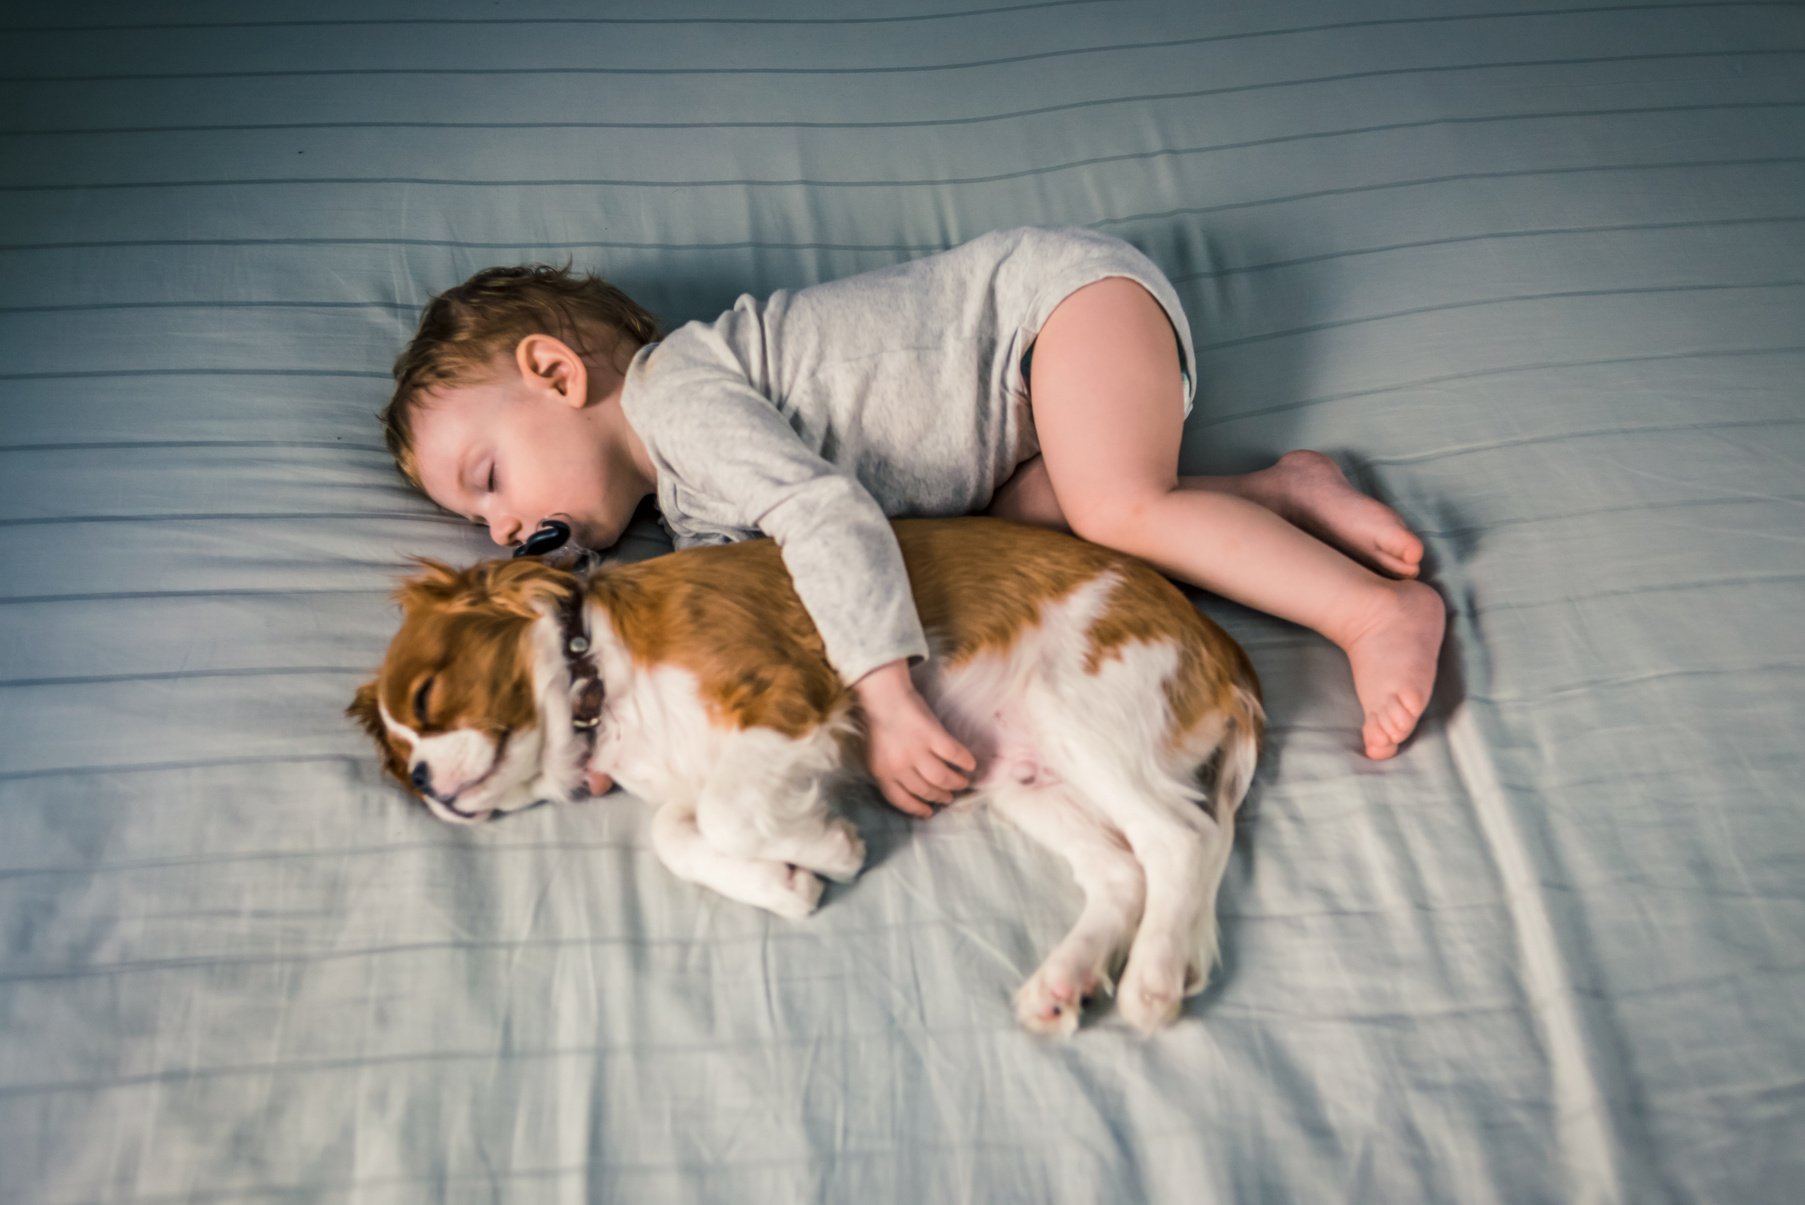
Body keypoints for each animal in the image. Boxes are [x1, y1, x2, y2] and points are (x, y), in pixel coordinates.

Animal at [344, 519, 1263, 1039]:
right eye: (404, 772)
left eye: (427, 697)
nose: (424, 778)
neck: (596, 672)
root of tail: (1223, 647)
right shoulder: (696, 772)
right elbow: (676, 833)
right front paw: (786, 879)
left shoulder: (786, 695)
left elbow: (722, 813)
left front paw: (831, 846)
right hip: (1023, 774)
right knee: (1121, 870)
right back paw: (1063, 982)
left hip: (1080, 707)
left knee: (1179, 838)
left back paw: (1150, 981)